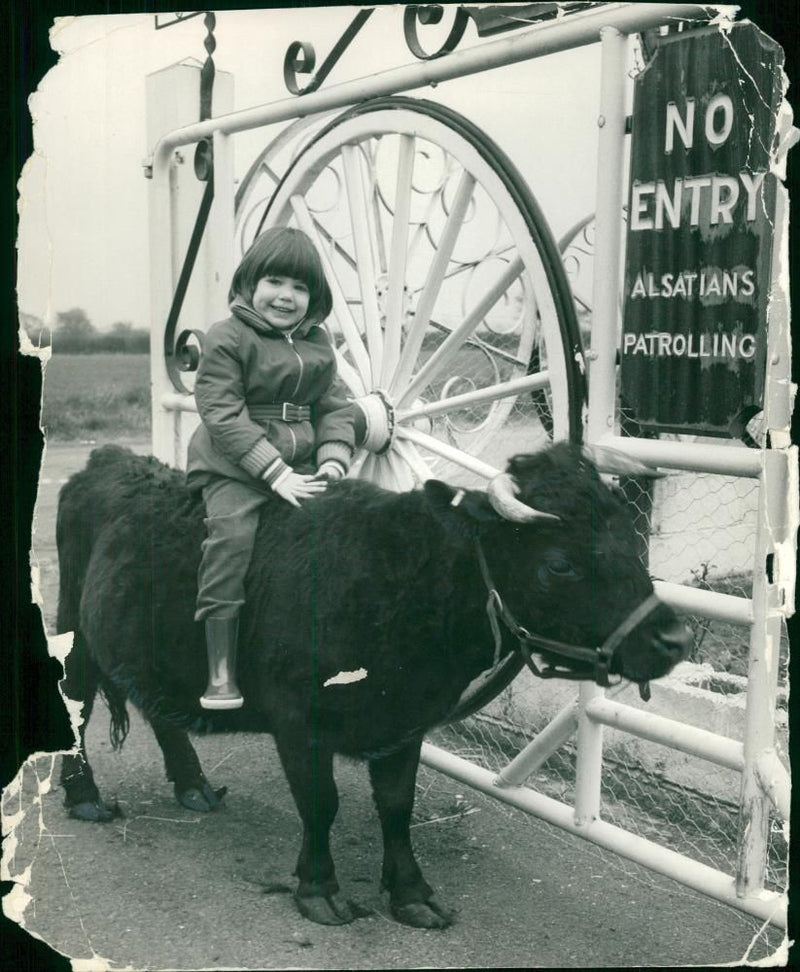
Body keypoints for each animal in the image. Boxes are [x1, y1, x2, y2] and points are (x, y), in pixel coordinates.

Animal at [57, 440, 692, 928]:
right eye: (559, 563)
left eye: (631, 543)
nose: (676, 638)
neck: (400, 584)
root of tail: (110, 458)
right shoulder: (299, 722)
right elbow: (322, 803)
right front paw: (319, 890)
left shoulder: (405, 722)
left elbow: (396, 806)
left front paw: (411, 894)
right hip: (75, 632)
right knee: (78, 708)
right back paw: (84, 796)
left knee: (160, 710)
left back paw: (194, 786)